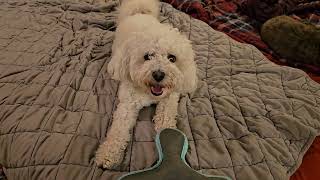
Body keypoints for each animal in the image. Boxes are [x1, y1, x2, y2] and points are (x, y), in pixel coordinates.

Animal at [94, 0, 198, 169]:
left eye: (172, 58)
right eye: (147, 56)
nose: (158, 75)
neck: (150, 93)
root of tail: (139, 12)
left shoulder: (170, 97)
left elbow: (166, 116)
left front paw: (169, 134)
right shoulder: (127, 106)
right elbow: (118, 131)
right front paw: (107, 155)